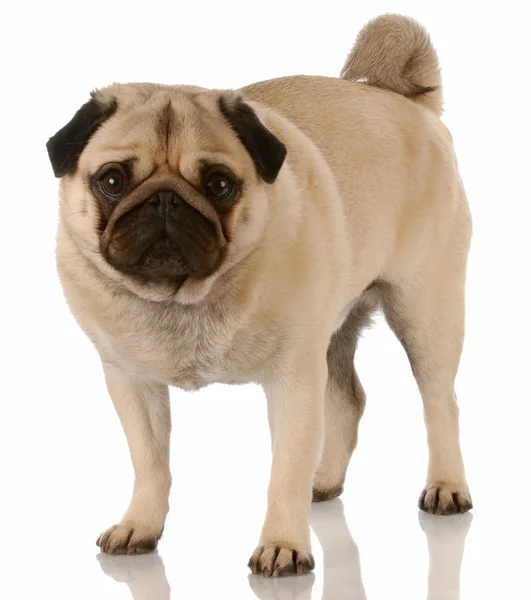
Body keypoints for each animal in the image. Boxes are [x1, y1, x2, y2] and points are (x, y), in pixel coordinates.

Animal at [47, 14, 474, 576]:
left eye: (219, 184)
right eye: (112, 181)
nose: (165, 202)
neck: (182, 299)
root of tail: (409, 103)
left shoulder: (293, 378)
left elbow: (284, 470)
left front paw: (283, 544)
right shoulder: (130, 381)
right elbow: (150, 462)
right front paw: (140, 524)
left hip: (425, 309)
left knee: (440, 402)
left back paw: (446, 487)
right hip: (333, 332)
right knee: (348, 399)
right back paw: (324, 481)